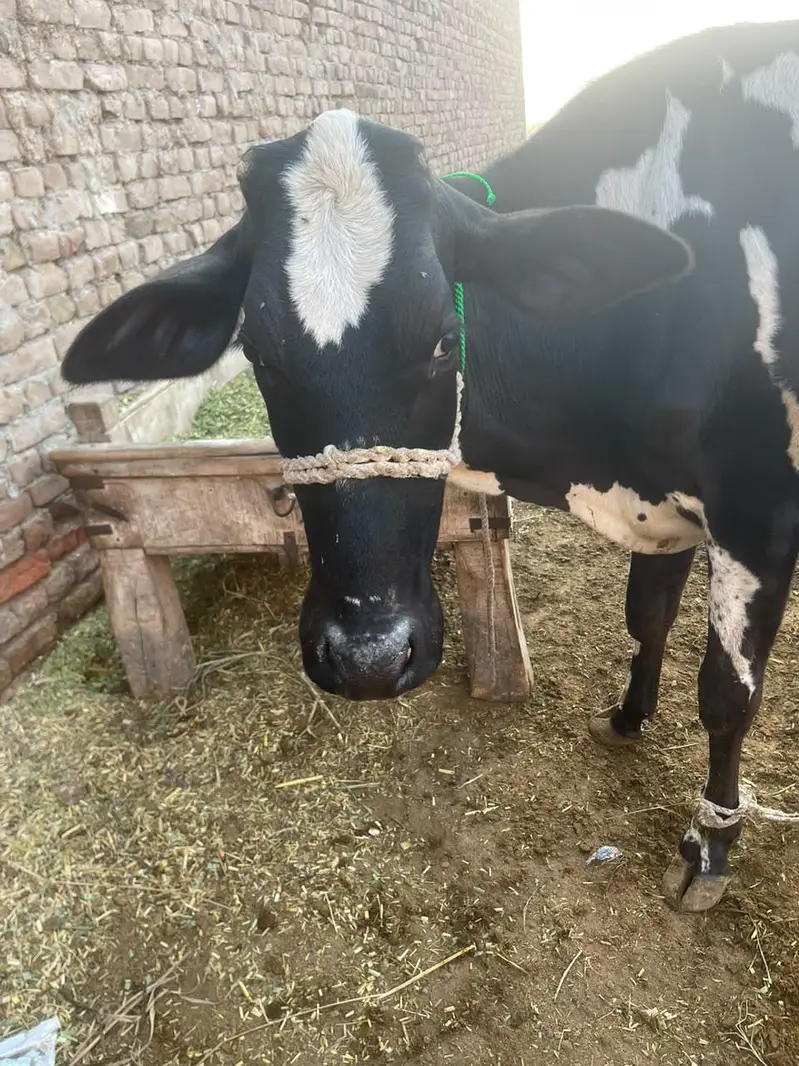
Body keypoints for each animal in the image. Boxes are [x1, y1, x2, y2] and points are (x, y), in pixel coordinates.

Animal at [61, 19, 799, 912]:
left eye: (444, 340)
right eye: (259, 353)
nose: (368, 658)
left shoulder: (760, 509)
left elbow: (727, 695)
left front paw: (709, 845)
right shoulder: (667, 500)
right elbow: (645, 617)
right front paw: (626, 717)